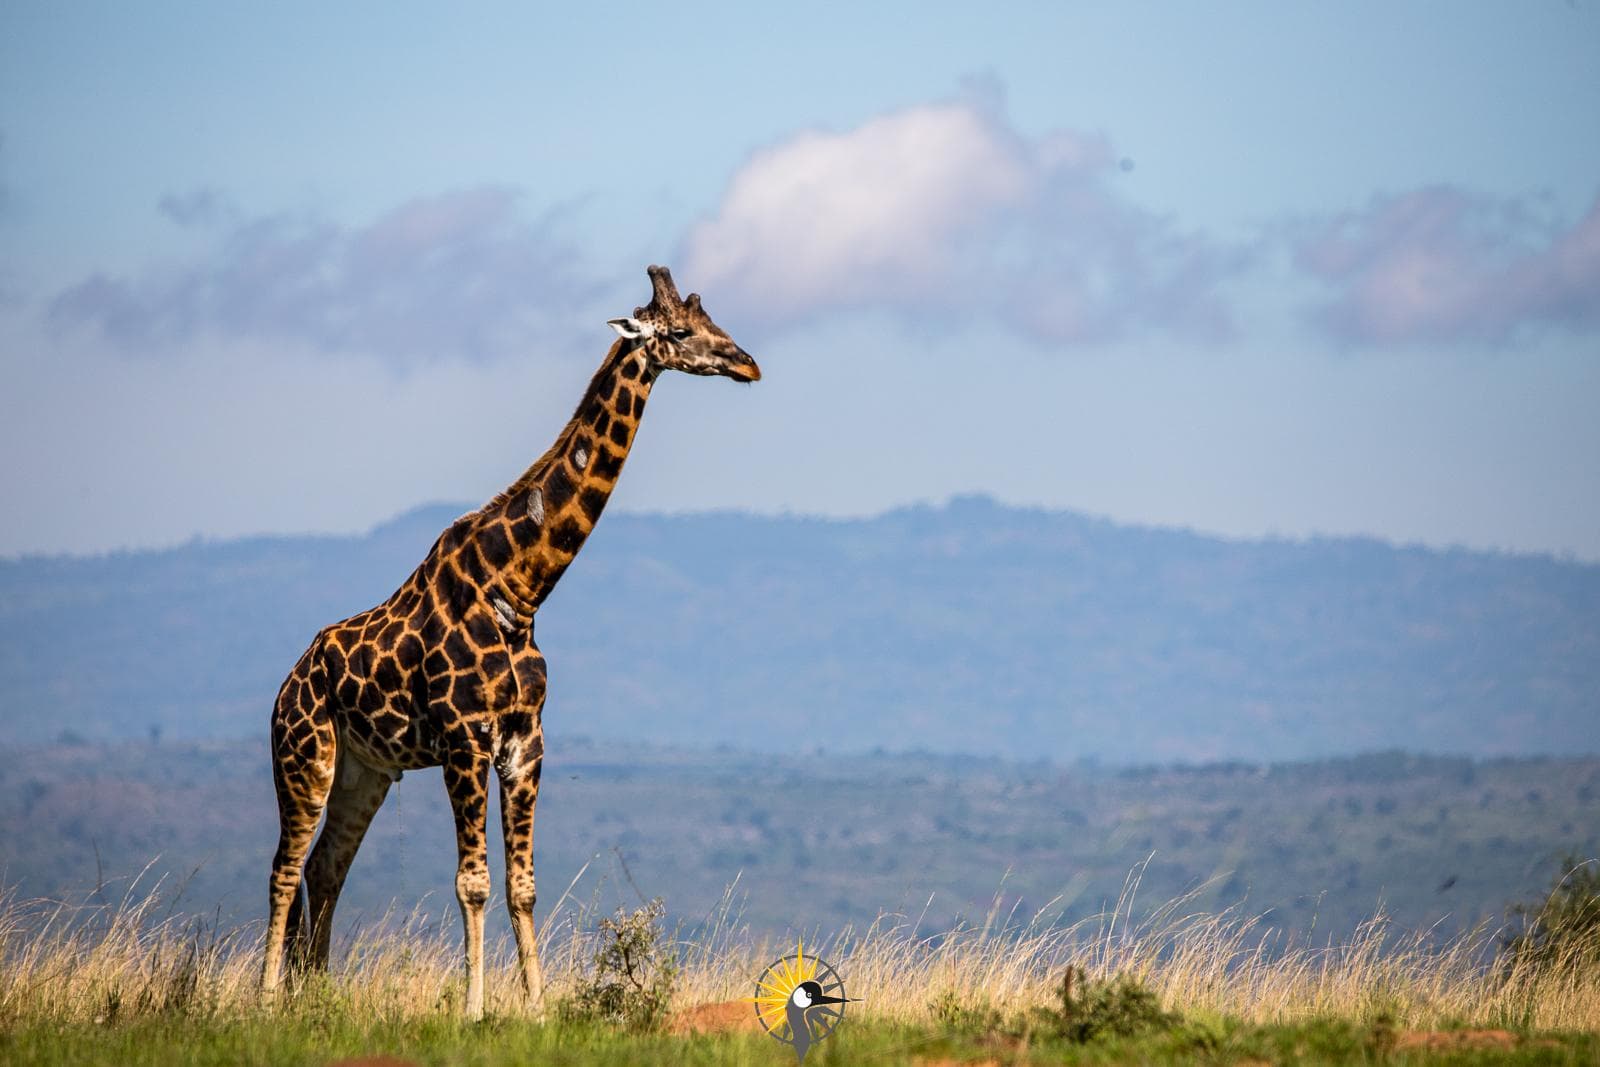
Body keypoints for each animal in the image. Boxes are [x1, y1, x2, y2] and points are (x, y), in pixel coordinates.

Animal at [260, 266, 760, 1019]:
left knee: (326, 867)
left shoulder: (526, 740)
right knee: (284, 869)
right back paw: (261, 1001)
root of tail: (289, 681)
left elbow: (522, 884)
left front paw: (538, 1007)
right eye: (678, 331)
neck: (520, 587)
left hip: (364, 771)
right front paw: (473, 1009)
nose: (747, 363)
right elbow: (472, 881)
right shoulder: (464, 738)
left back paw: (314, 994)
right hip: (304, 754)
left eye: (712, 320)